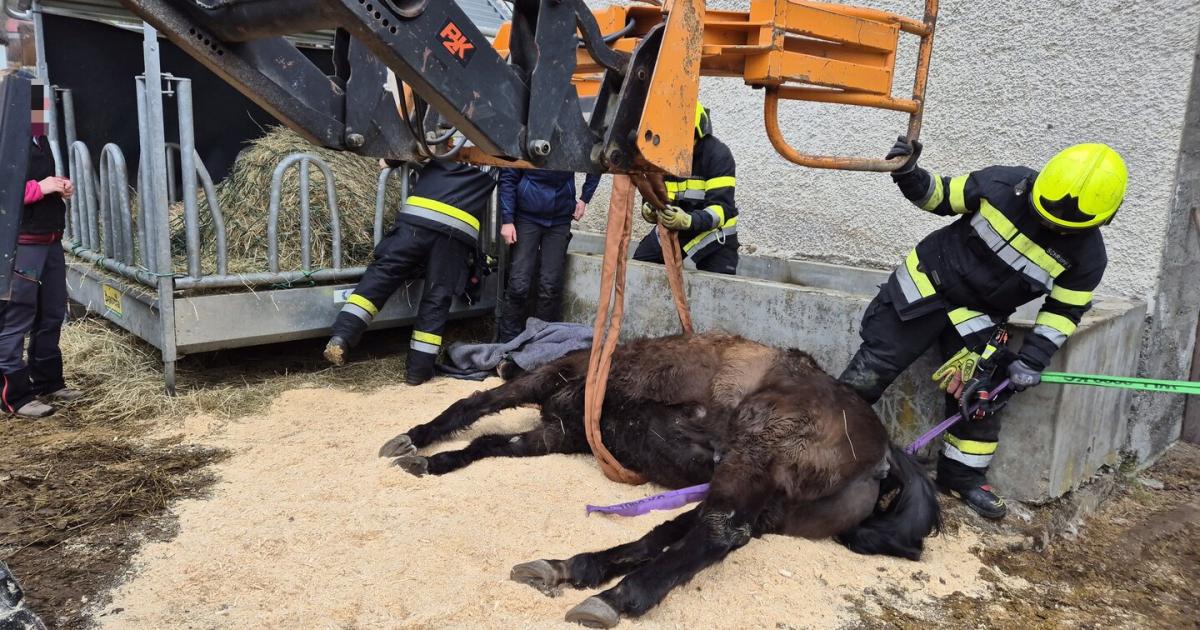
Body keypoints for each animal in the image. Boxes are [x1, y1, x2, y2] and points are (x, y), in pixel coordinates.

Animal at [376, 331, 936, 624]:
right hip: (764, 500)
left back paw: (615, 597)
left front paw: (415, 441)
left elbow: (474, 405)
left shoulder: (547, 387)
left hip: (754, 453)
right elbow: (488, 443)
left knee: (716, 532)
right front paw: (434, 460)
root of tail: (880, 455)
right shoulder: (557, 433)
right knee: (678, 532)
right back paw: (573, 568)